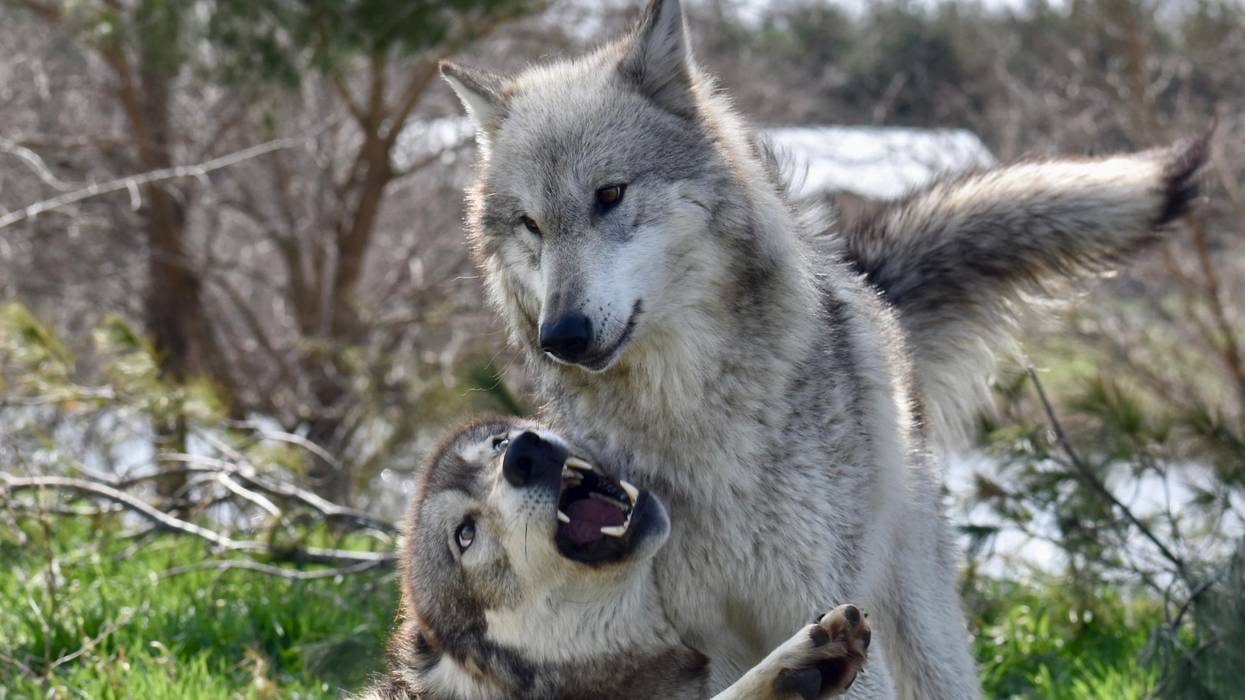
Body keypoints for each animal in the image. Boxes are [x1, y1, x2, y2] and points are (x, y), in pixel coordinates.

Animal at [439, 0, 1206, 696]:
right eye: (531, 225)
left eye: (609, 194)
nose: (560, 335)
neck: (687, 416)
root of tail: (864, 281)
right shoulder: (697, 645)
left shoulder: (822, 602)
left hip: (920, 636)